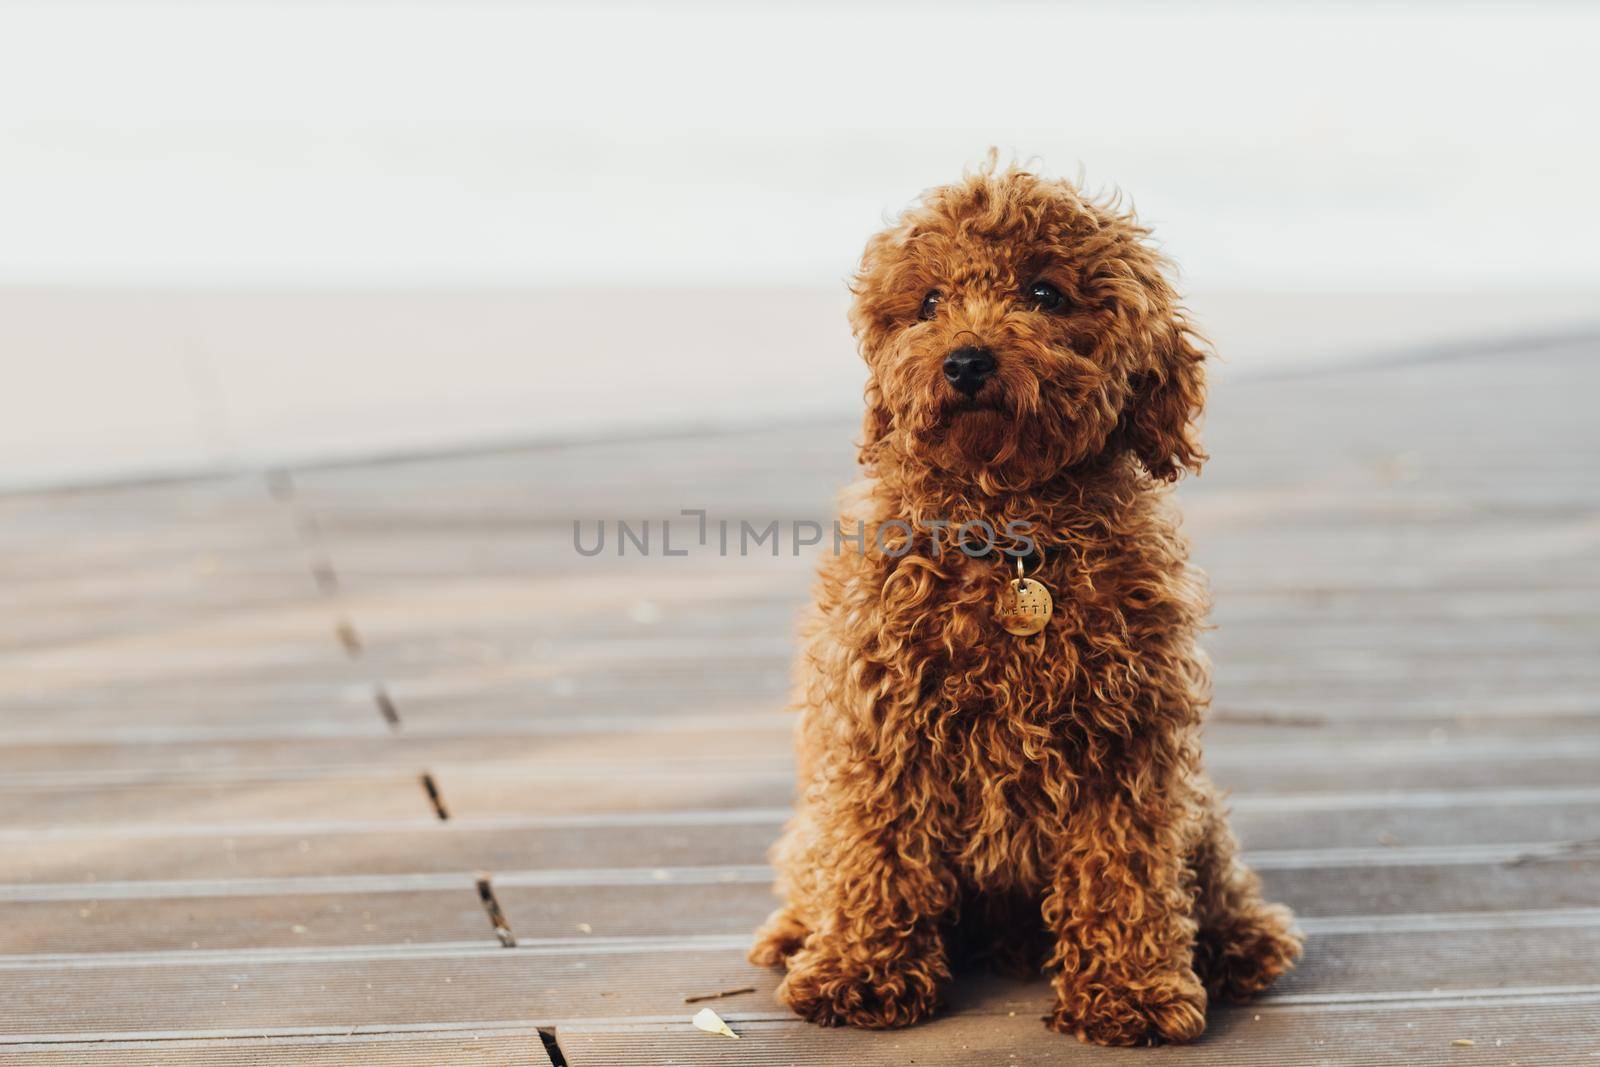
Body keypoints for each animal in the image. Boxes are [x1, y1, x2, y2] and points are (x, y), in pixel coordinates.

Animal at [752, 163, 1299, 1049]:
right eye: (929, 302)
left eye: (1044, 292)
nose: (967, 361)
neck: (1010, 528)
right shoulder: (879, 727)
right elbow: (877, 852)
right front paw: (860, 970)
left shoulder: (1129, 742)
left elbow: (1125, 871)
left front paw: (1132, 989)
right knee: (815, 865)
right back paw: (799, 933)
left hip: (1198, 808)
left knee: (1212, 878)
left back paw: (1240, 941)